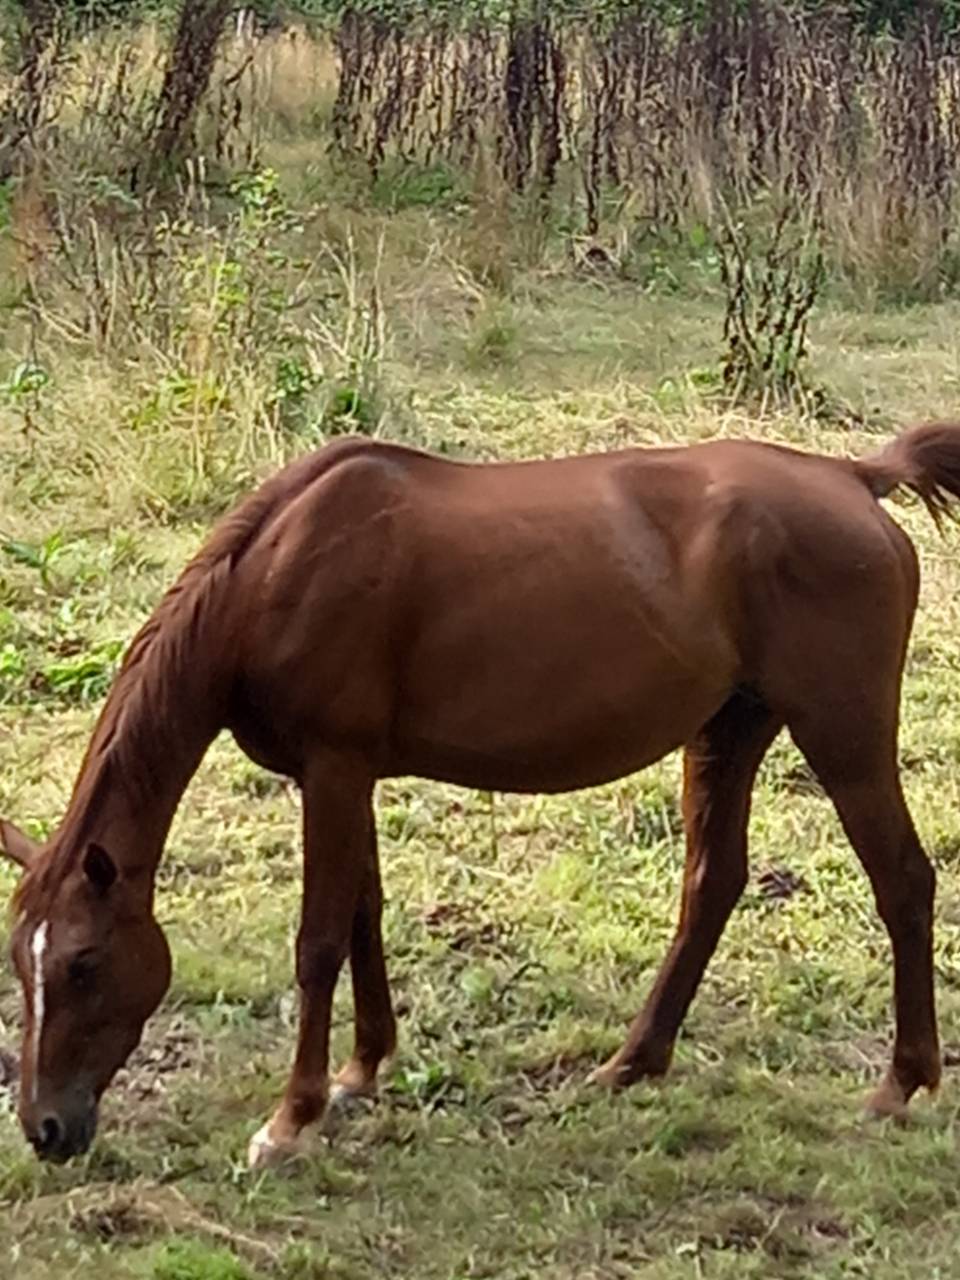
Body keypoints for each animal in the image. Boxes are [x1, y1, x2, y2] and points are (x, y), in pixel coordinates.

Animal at [3, 422, 959, 1168]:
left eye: (84, 964)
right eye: (21, 962)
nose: (45, 1129)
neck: (274, 577)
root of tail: (853, 477)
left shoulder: (334, 766)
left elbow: (319, 941)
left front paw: (290, 1119)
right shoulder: (345, 772)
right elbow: (364, 914)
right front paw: (361, 1071)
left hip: (841, 732)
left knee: (904, 881)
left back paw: (901, 1083)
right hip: (731, 730)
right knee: (713, 884)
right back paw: (633, 1062)